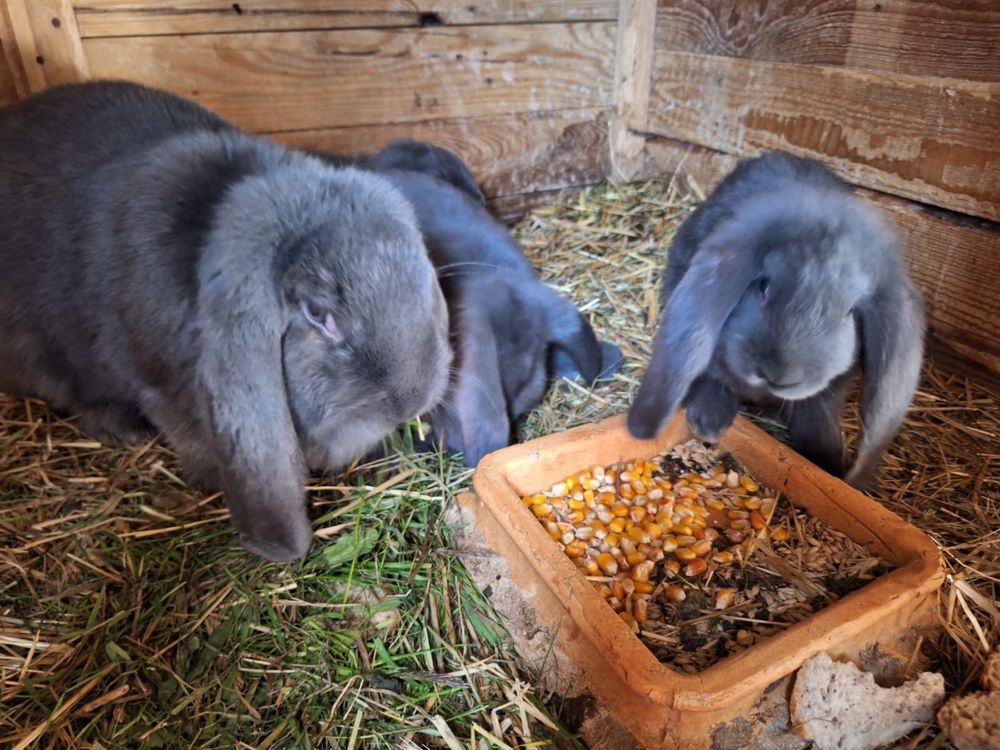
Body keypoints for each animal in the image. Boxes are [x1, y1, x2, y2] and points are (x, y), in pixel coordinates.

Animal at [628, 154, 924, 494]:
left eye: (851, 310)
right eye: (763, 285)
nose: (778, 374)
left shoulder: (825, 395)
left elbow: (816, 417)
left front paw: (827, 464)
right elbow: (715, 378)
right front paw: (707, 423)